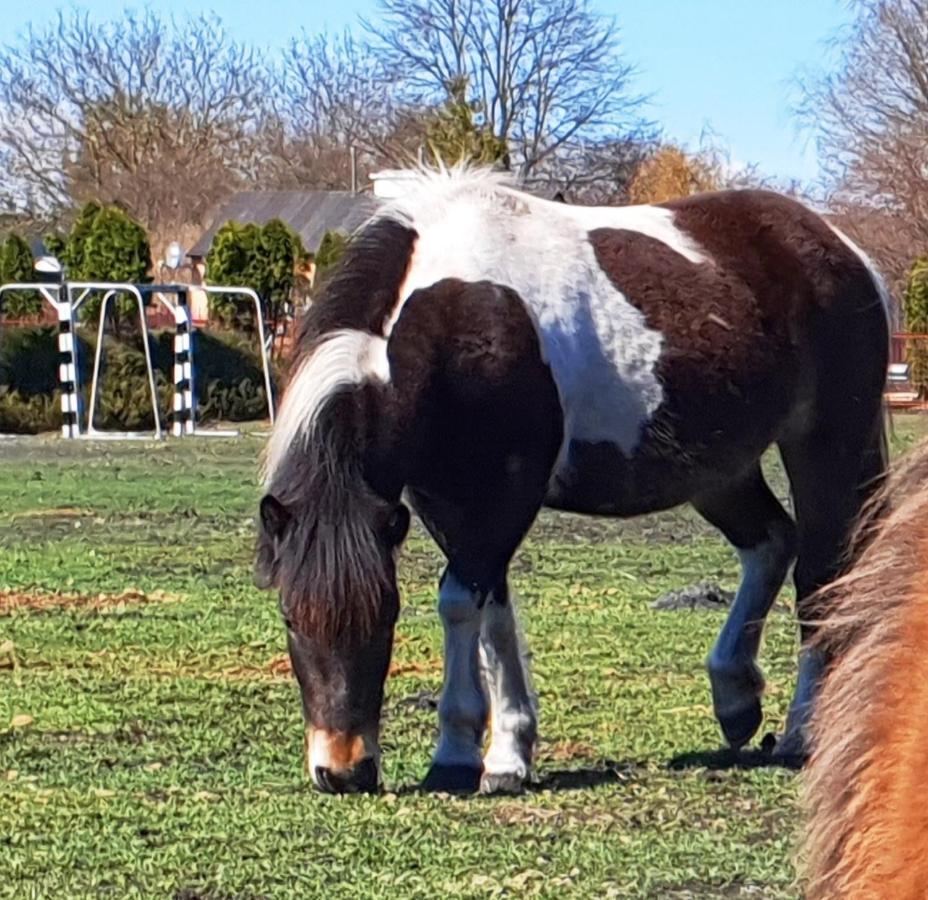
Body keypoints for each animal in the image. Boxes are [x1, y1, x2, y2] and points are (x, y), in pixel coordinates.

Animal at [256, 169, 892, 796]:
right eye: (288, 616)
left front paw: (459, 755)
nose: (343, 771)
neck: (454, 315)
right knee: (771, 542)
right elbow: (493, 614)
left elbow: (461, 604)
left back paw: (802, 731)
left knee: (821, 574)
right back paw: (734, 697)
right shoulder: (442, 501)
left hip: (828, 447)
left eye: (387, 612)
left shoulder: (507, 493)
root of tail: (845, 249)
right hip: (718, 470)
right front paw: (507, 752)